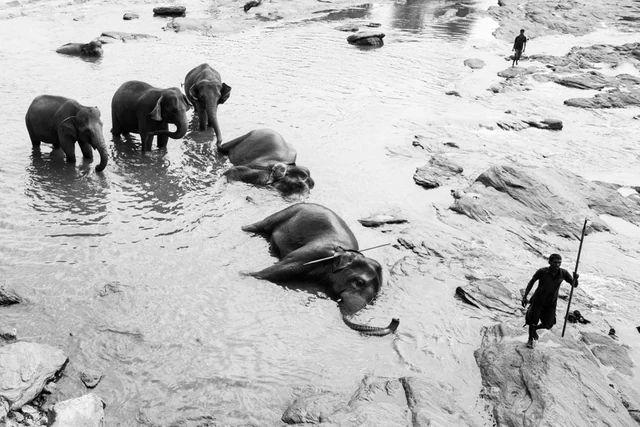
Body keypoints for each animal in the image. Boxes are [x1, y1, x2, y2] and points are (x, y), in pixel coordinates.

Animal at [242, 203, 399, 336]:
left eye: (375, 297)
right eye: (359, 282)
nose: (396, 319)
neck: (347, 253)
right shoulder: (315, 253)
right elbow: (278, 271)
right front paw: (244, 274)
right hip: (286, 212)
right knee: (259, 225)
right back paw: (245, 229)